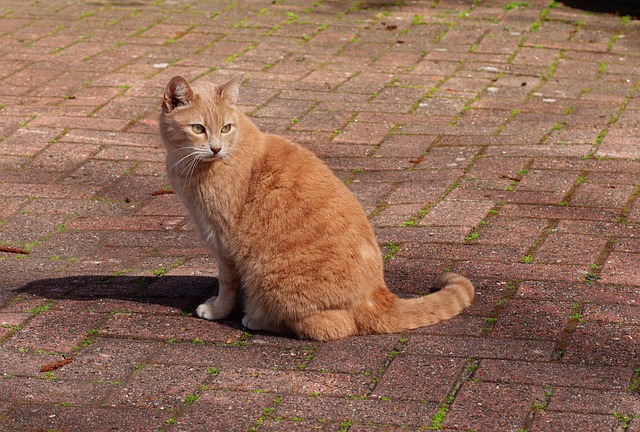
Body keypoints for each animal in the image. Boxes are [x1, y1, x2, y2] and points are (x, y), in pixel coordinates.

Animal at [158, 76, 472, 342]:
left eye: (226, 128)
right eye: (198, 129)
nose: (215, 148)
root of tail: (379, 294)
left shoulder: (223, 243)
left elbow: (227, 284)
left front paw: (217, 310)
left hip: (273, 279)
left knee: (331, 325)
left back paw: (256, 318)